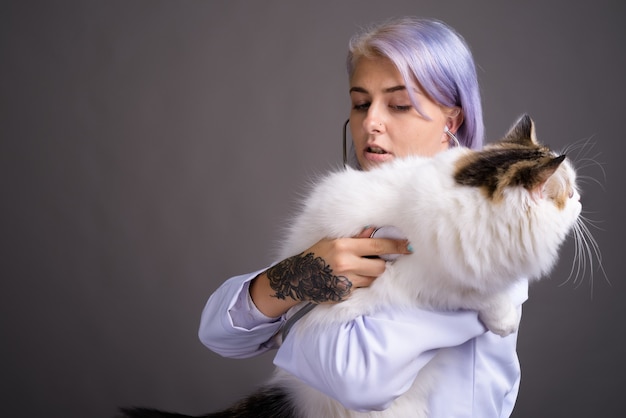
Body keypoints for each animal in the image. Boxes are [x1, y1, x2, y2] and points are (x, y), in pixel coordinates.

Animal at [118, 114, 584, 418]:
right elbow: (483, 293)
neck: (465, 197)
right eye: (569, 192)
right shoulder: (437, 278)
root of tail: (300, 397)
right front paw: (504, 320)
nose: (580, 201)